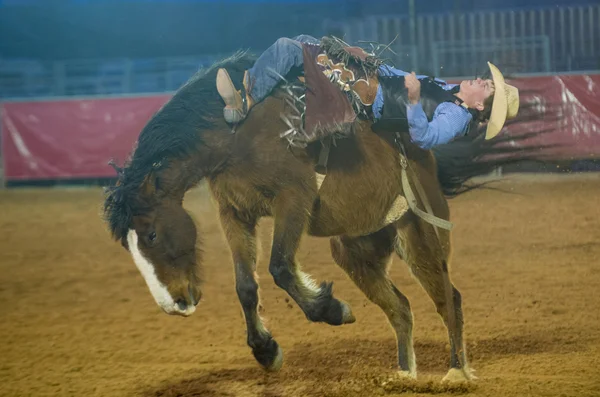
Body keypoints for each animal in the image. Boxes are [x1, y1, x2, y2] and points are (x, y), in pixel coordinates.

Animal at [105, 51, 540, 382]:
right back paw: (405, 375)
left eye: (151, 235)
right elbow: (246, 285)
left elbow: (280, 267)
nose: (174, 304)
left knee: (450, 300)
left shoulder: (293, 198)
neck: (238, 135)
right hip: (355, 252)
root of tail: (426, 162)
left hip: (422, 239)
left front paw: (331, 310)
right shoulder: (235, 212)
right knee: (401, 308)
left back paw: (456, 372)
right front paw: (266, 351)